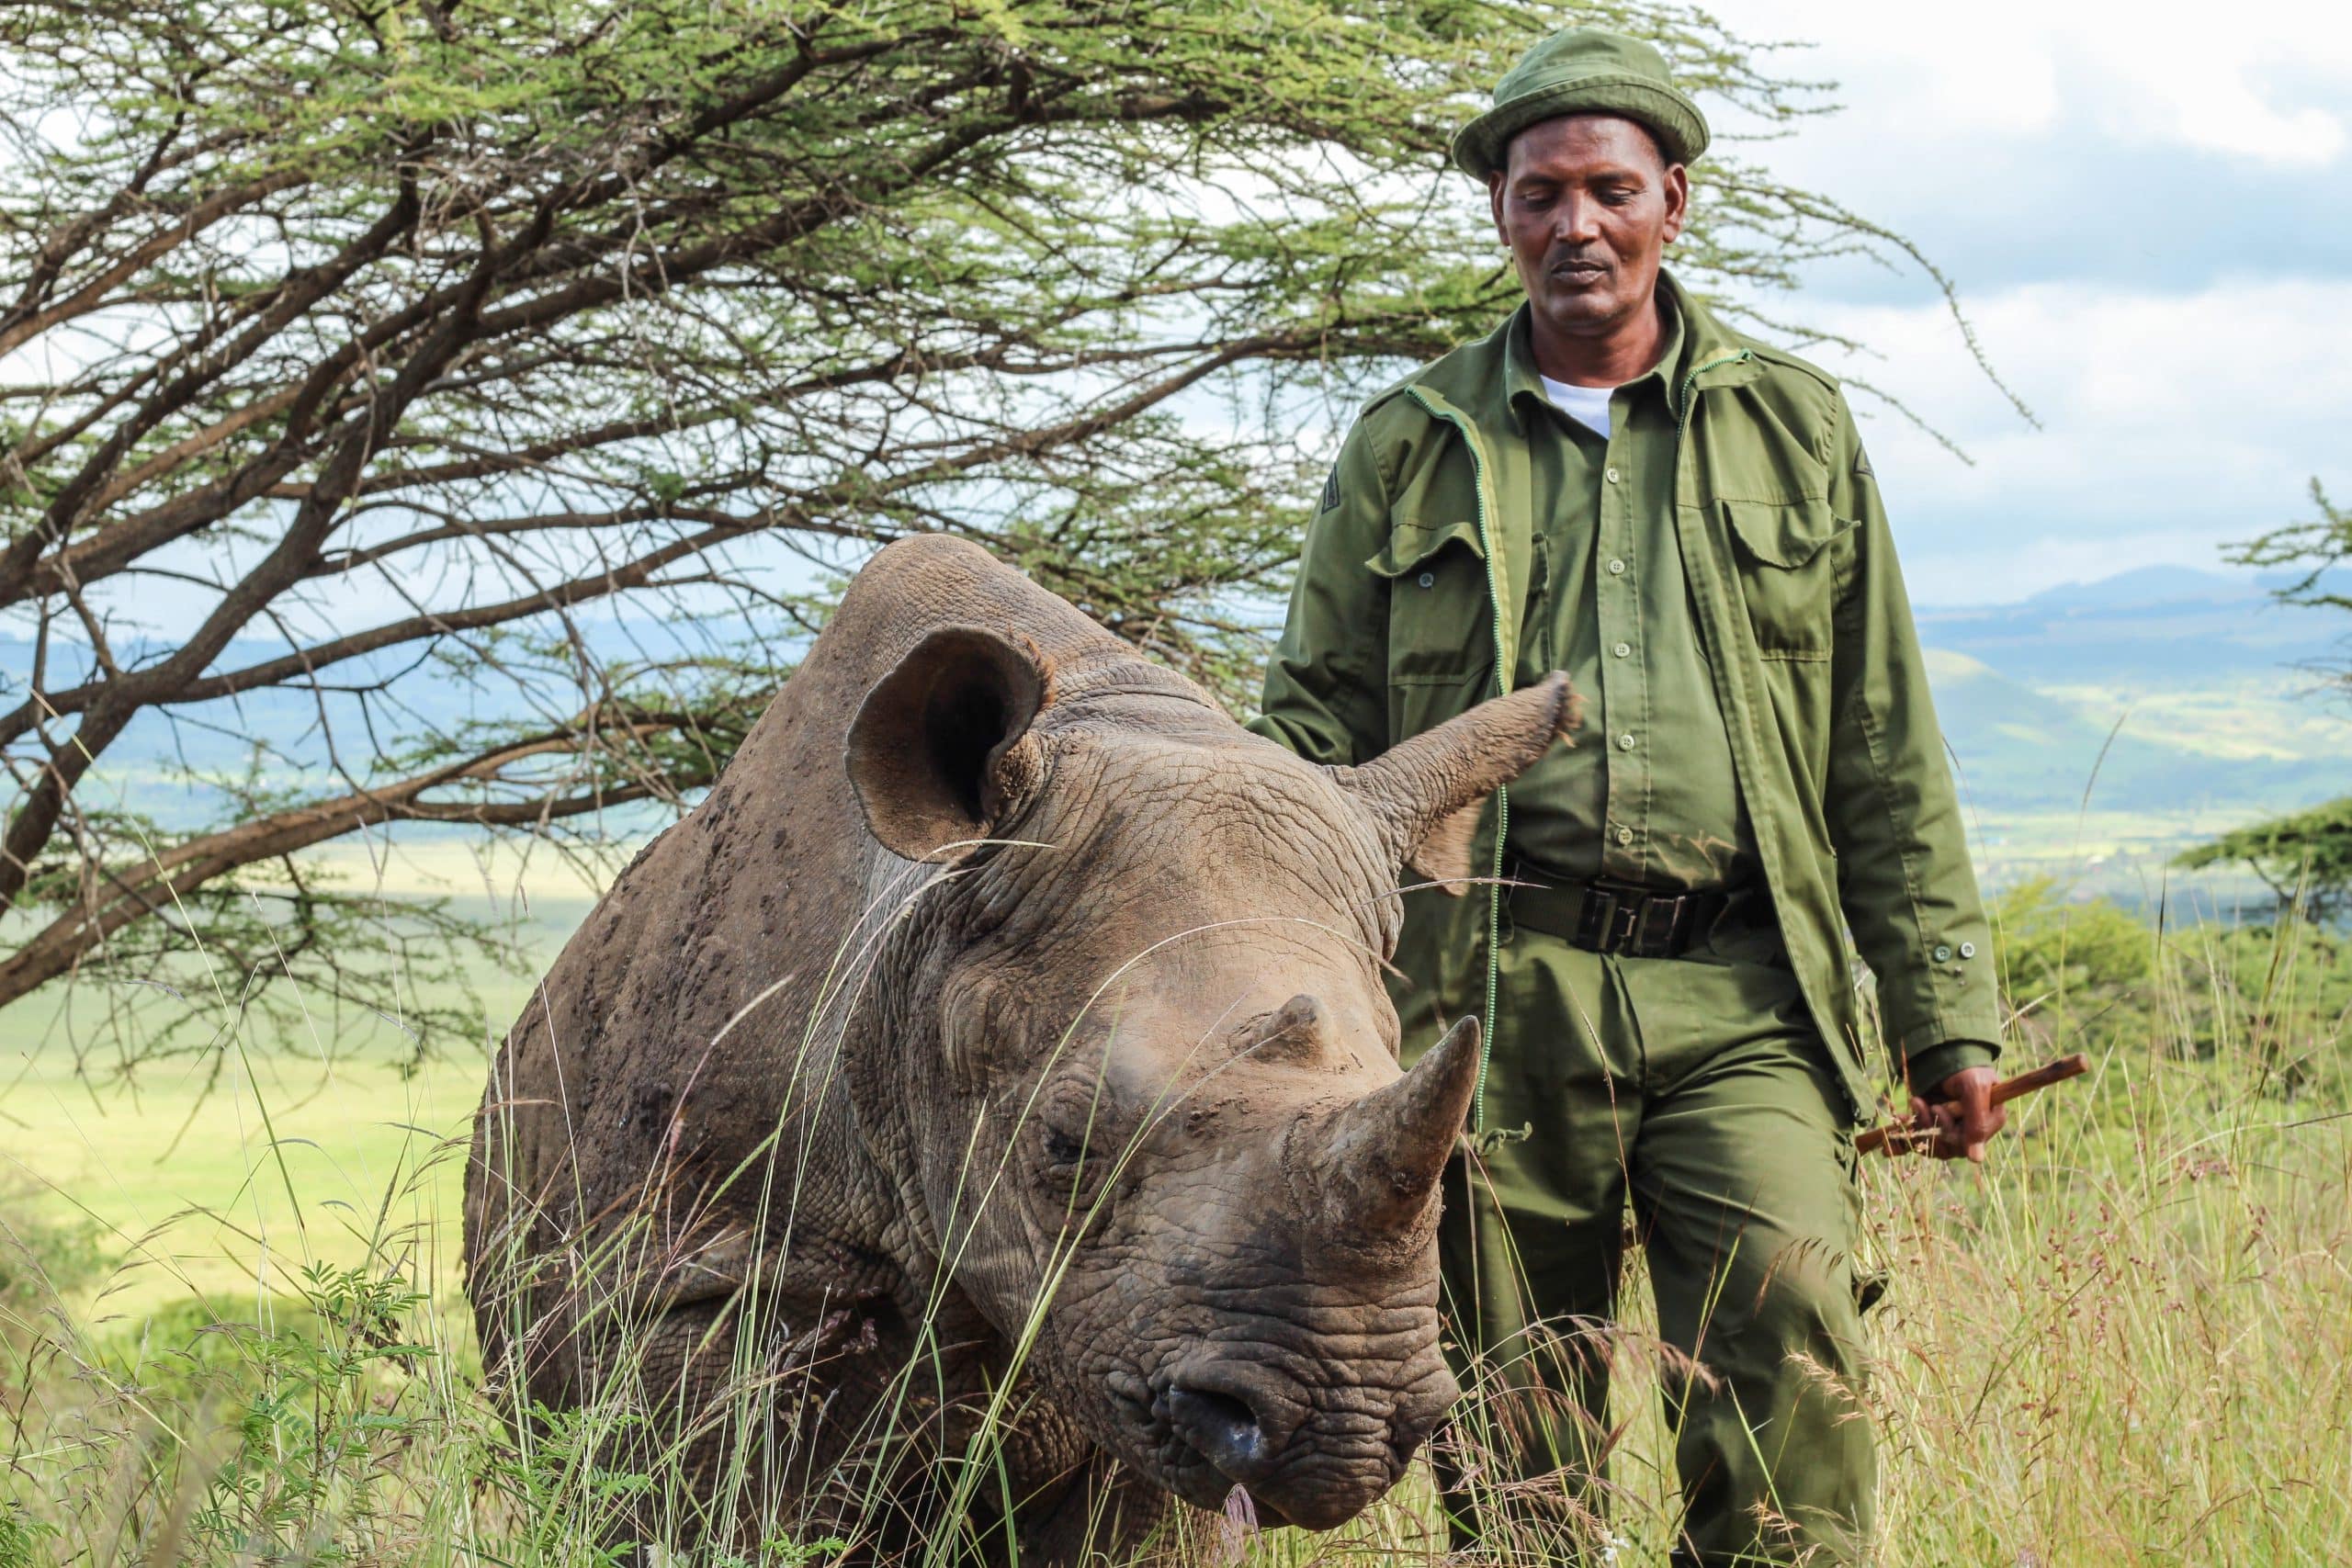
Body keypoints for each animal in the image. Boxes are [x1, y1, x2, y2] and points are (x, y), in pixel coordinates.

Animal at [462, 535, 1576, 1559]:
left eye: (1457, 1156)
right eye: (1064, 1145)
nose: (1341, 1424)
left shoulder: (1139, 1346)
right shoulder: (689, 1275)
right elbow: (715, 1509)